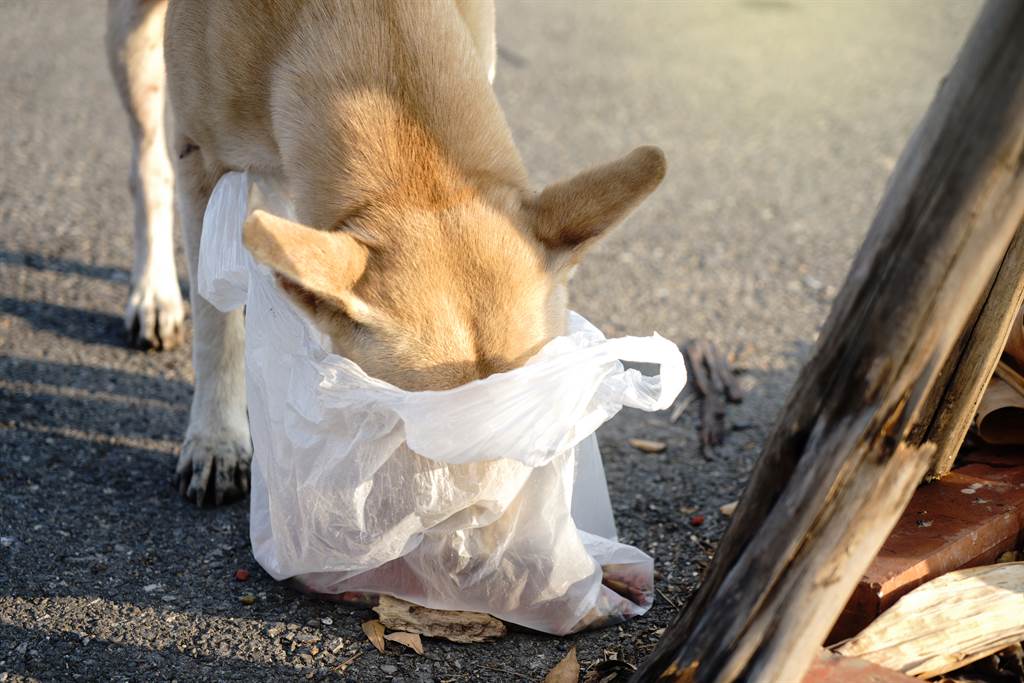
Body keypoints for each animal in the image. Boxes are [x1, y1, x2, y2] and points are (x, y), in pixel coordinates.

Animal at [103, 0, 663, 501]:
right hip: (133, 42)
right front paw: (216, 443)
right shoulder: (201, 159)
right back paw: (154, 295)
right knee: (148, 166)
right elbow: (216, 326)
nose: (488, 518)